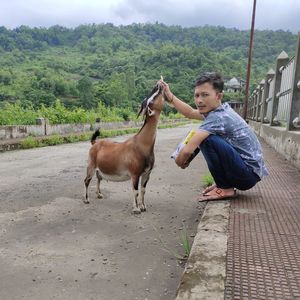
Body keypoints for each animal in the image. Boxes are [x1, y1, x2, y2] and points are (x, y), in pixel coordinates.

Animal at [83, 82, 165, 213]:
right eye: (151, 100)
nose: (158, 85)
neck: (141, 144)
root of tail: (94, 143)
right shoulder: (135, 173)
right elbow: (135, 191)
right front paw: (136, 209)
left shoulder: (147, 173)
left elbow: (143, 190)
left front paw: (143, 206)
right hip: (91, 164)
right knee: (86, 180)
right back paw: (86, 199)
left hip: (99, 168)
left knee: (99, 178)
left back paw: (99, 194)